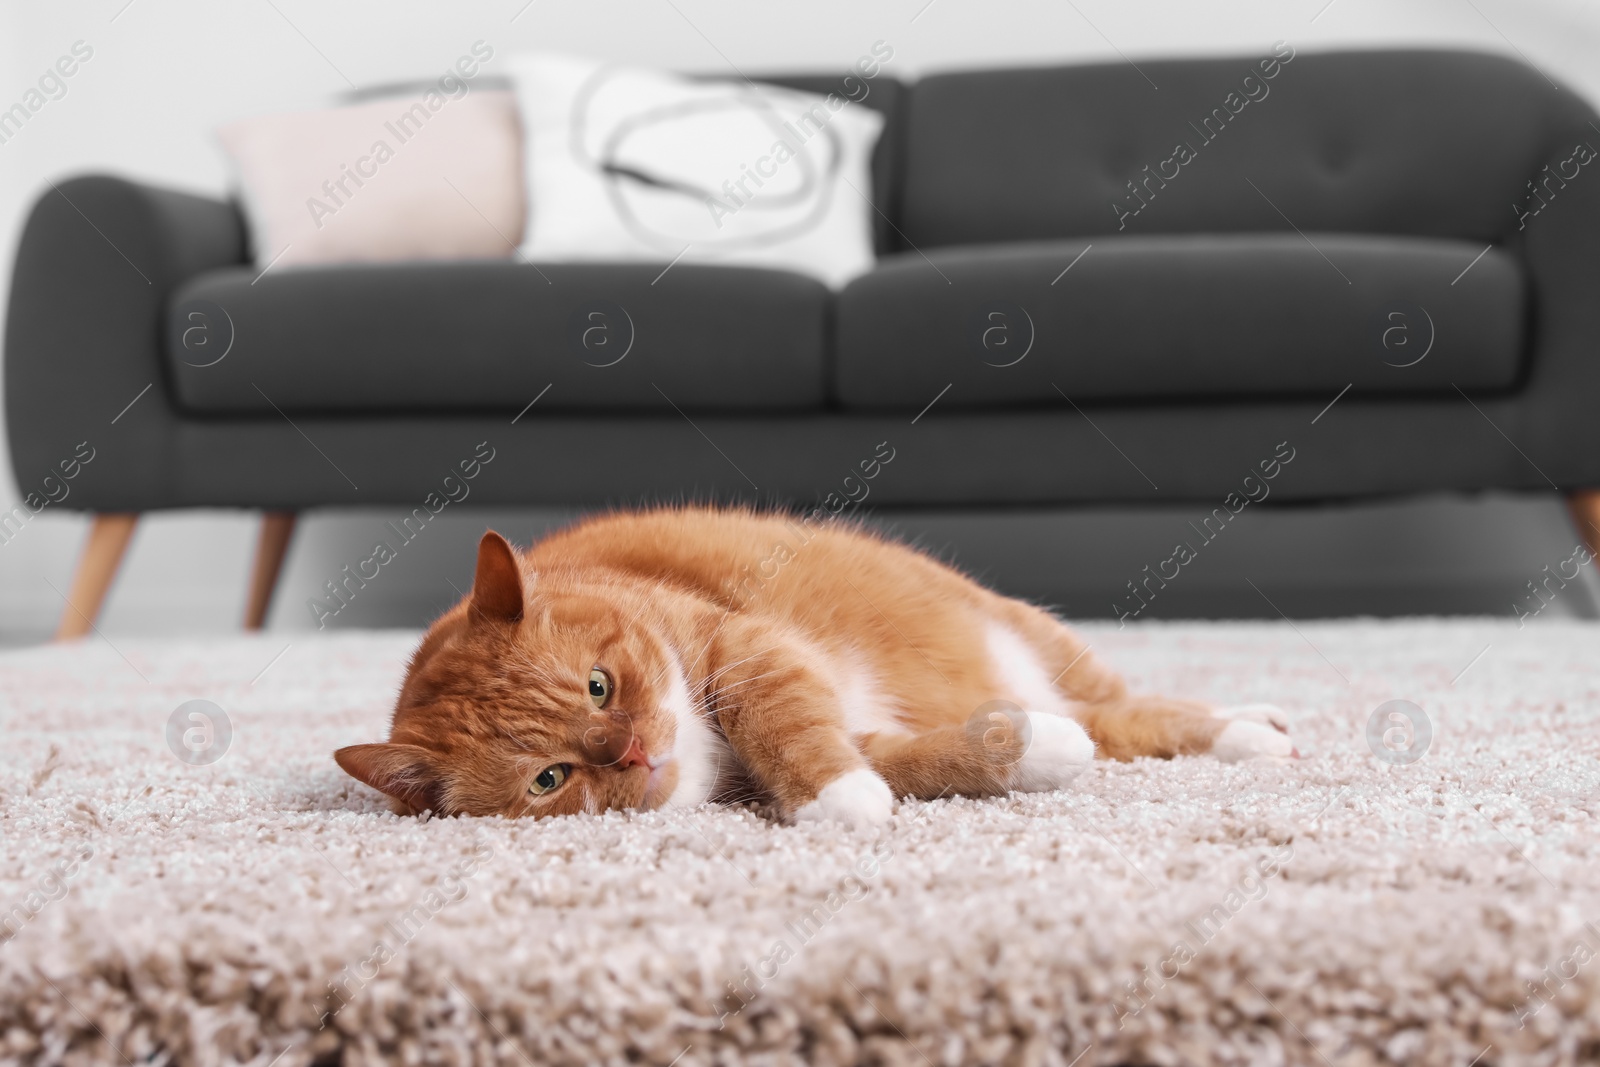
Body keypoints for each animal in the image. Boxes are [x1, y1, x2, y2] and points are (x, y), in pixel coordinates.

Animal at [331, 508, 1292, 825]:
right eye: (549, 778)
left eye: (600, 686)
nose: (635, 752)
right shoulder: (854, 723)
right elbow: (911, 759)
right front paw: (1021, 748)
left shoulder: (745, 647)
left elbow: (781, 717)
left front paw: (835, 794)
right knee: (1110, 722)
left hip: (1038, 636)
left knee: (1139, 709)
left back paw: (1250, 731)